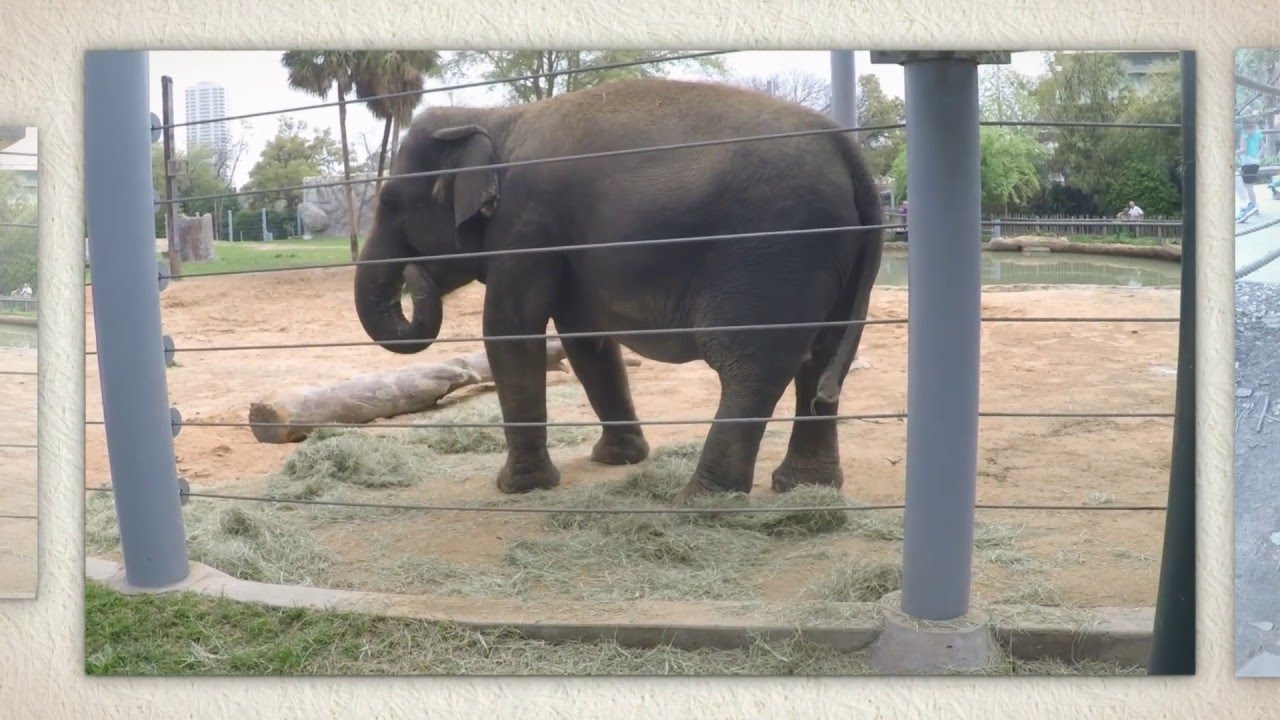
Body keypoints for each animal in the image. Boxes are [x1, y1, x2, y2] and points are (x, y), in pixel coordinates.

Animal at [353, 77, 885, 503]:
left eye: (391, 202)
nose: (415, 274)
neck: (492, 118)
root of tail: (847, 150)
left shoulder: (526, 225)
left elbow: (509, 331)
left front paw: (516, 487)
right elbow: (585, 342)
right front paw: (618, 458)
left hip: (774, 250)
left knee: (751, 368)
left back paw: (701, 502)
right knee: (821, 361)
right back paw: (806, 487)